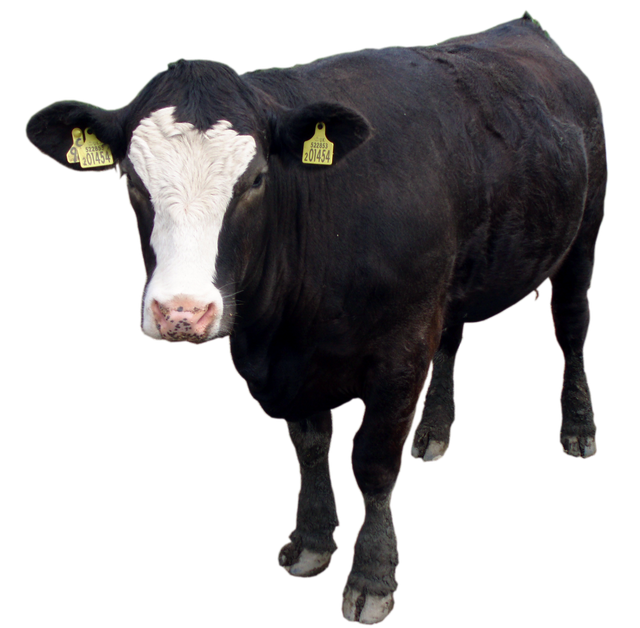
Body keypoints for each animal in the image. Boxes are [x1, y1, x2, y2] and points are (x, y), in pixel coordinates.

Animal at [25, 11, 606, 625]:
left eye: (257, 179)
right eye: (132, 181)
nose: (182, 311)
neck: (283, 330)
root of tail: (523, 27)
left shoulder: (401, 349)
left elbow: (372, 462)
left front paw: (372, 578)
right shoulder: (295, 364)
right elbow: (309, 446)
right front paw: (310, 542)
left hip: (584, 232)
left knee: (572, 328)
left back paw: (577, 428)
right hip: (457, 279)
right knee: (452, 339)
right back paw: (434, 432)